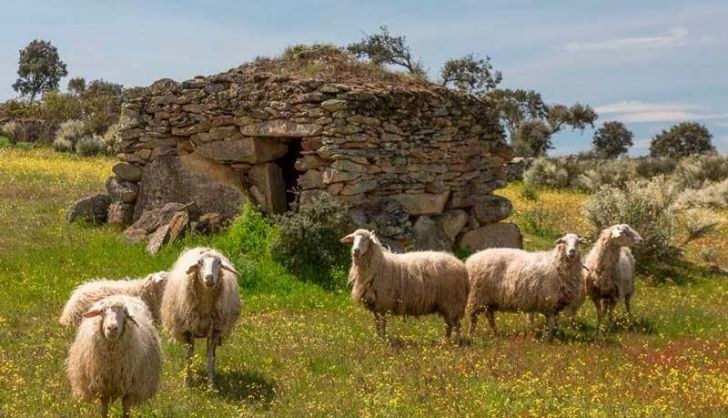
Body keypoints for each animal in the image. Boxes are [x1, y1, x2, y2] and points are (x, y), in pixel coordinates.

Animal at [160, 247, 242, 386]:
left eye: (218, 263)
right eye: (200, 263)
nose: (209, 278)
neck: (205, 307)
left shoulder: (214, 331)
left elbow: (210, 357)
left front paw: (211, 383)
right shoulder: (188, 331)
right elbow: (188, 357)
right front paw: (187, 382)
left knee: (213, 354)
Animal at [340, 229, 470, 342]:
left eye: (367, 239)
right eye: (353, 239)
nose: (355, 251)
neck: (379, 264)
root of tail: (460, 265)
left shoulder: (383, 302)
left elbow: (383, 323)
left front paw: (383, 339)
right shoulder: (375, 304)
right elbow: (377, 323)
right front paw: (378, 338)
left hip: (451, 301)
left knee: (454, 324)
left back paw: (453, 341)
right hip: (449, 303)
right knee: (451, 324)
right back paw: (448, 340)